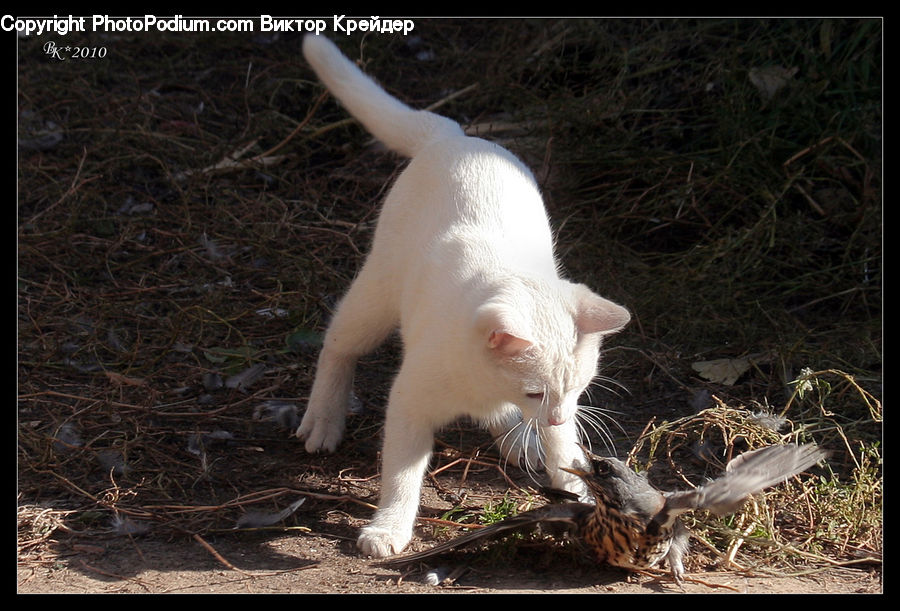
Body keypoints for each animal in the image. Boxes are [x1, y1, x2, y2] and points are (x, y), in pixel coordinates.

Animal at [298, 34, 628, 560]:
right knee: (338, 344)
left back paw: (518, 439)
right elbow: (402, 474)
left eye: (578, 389)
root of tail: (454, 135)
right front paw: (389, 528)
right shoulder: (409, 402)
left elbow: (562, 449)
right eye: (535, 391)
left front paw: (572, 484)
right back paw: (323, 419)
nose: (555, 414)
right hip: (377, 293)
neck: (486, 383)